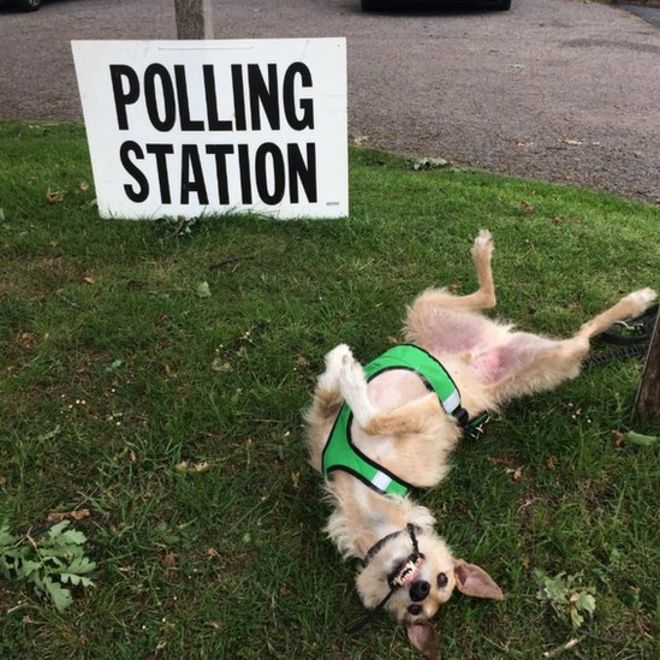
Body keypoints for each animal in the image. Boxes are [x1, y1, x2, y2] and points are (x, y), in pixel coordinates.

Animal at [304, 229, 656, 656]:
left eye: (439, 586)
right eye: (414, 609)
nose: (419, 588)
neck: (363, 496)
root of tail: (490, 352)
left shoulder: (429, 419)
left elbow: (371, 418)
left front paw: (351, 377)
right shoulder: (321, 430)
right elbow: (326, 397)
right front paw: (338, 364)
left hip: (551, 357)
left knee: (583, 335)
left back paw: (636, 301)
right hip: (431, 311)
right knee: (495, 302)